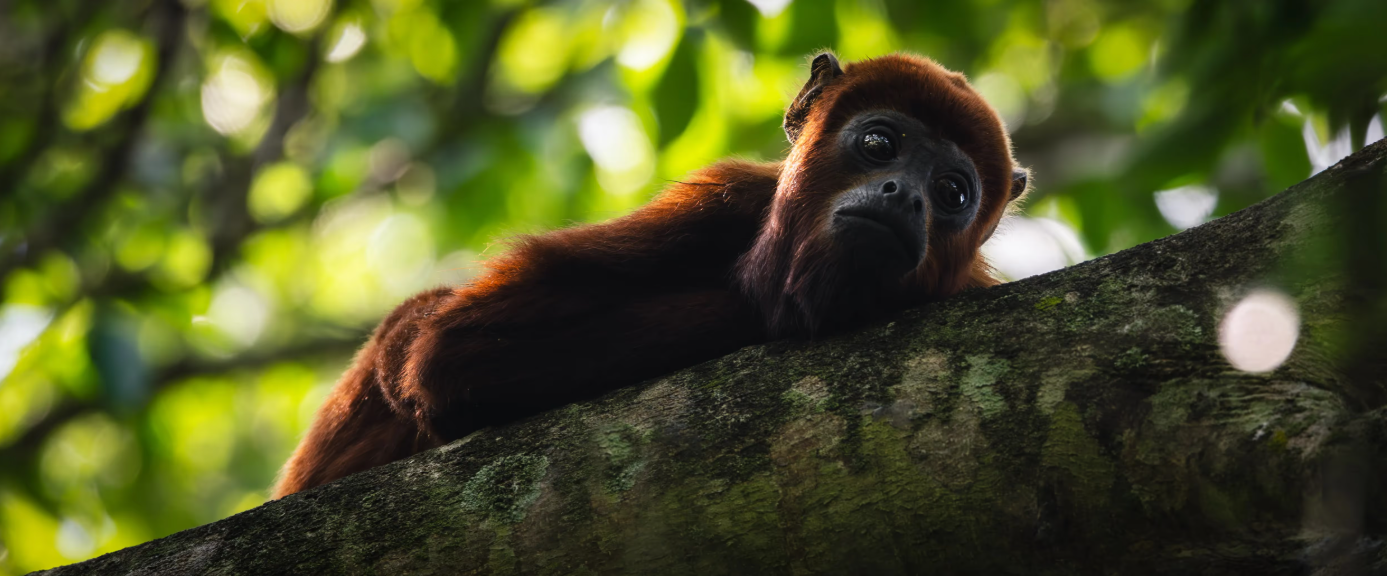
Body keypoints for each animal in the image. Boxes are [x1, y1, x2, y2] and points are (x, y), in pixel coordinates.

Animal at [273, 52, 1029, 497]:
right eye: (879, 143)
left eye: (952, 191)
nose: (906, 197)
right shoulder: (720, 200)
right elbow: (447, 347)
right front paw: (771, 302)